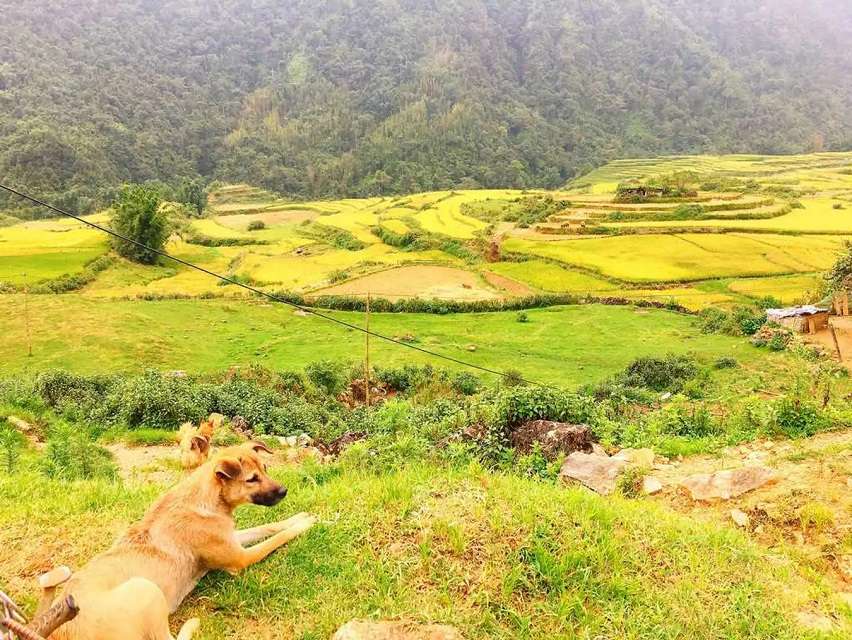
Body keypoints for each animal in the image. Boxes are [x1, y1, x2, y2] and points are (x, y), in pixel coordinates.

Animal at [41, 442, 318, 640]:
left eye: (266, 469)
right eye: (252, 479)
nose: (284, 491)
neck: (206, 499)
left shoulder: (232, 539)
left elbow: (269, 526)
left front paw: (298, 517)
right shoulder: (240, 559)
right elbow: (278, 537)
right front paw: (304, 525)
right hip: (145, 588)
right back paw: (192, 624)